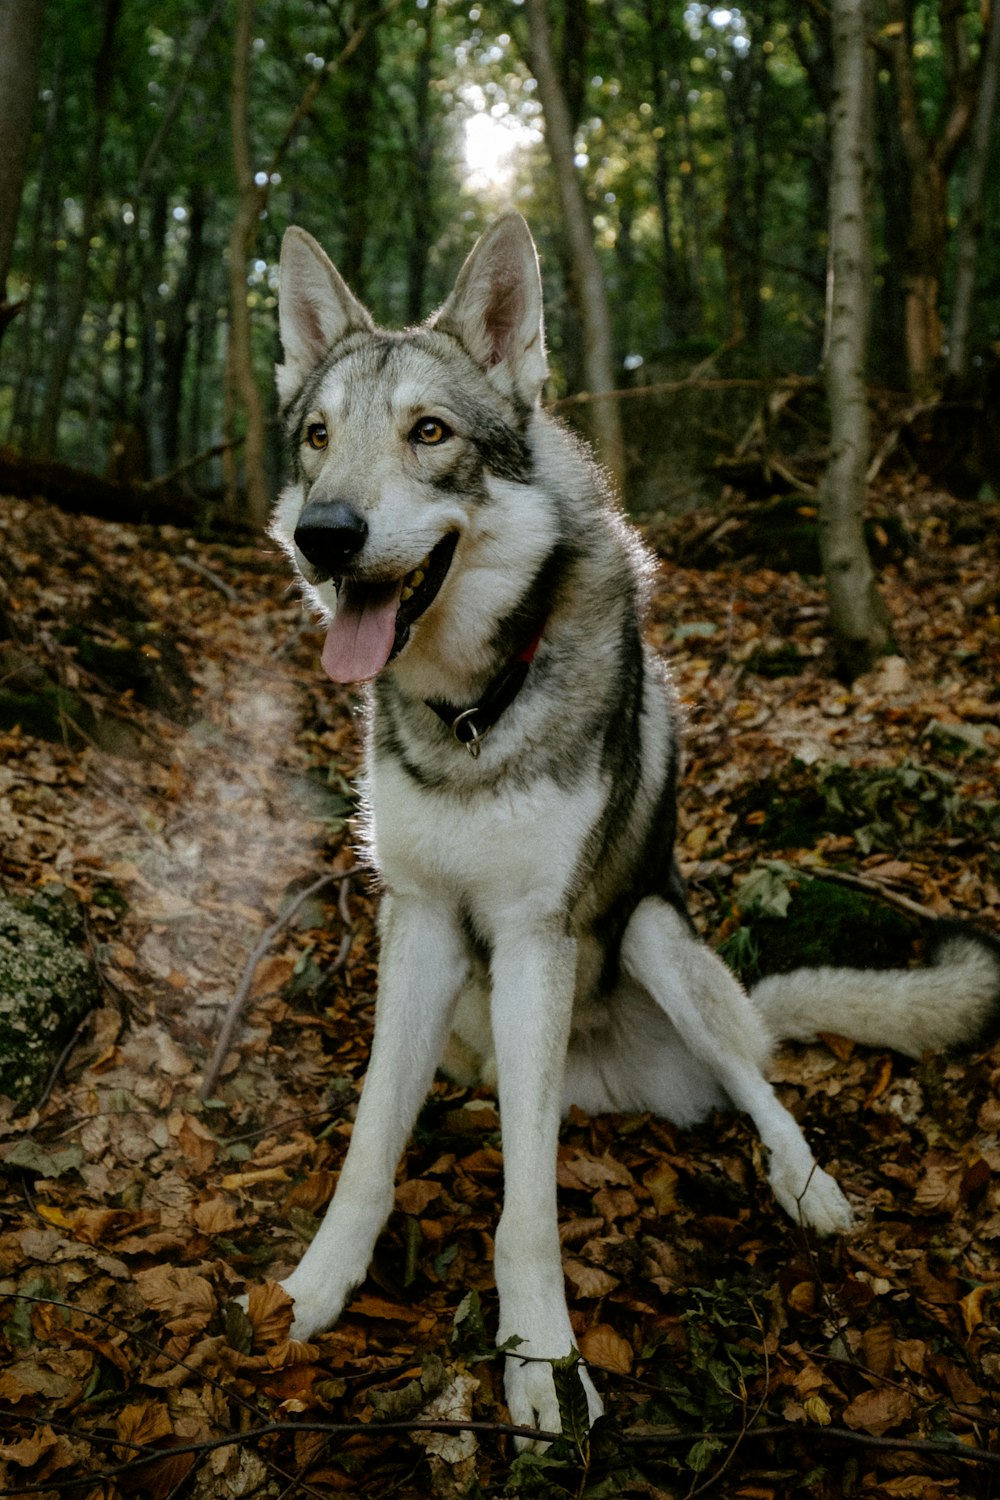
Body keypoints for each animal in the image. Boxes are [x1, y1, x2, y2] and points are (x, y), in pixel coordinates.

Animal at [268, 214, 1000, 1440]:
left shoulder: (536, 935)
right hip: (482, 1022)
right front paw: (317, 1287)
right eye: (317, 439)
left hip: (656, 937)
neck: (474, 713)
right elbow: (371, 1141)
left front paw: (542, 1363)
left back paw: (809, 1187)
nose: (324, 535)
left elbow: (527, 1208)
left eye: (430, 433)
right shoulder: (418, 921)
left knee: (761, 1089)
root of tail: (612, 1084)